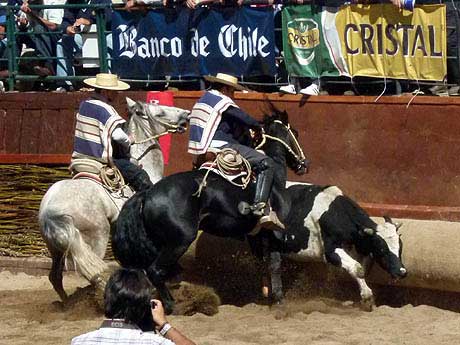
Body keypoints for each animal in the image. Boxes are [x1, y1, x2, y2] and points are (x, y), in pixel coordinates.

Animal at [38, 97, 190, 300]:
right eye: (160, 113)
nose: (186, 114)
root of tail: (50, 213)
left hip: (56, 249)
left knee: (55, 277)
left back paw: (66, 303)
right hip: (96, 238)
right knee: (94, 275)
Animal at [112, 105, 308, 312]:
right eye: (295, 133)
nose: (304, 164)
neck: (273, 180)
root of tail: (148, 193)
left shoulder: (256, 235)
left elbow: (263, 264)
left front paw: (265, 295)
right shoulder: (274, 232)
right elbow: (275, 264)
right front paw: (278, 300)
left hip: (158, 242)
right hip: (180, 241)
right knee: (155, 271)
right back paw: (173, 305)